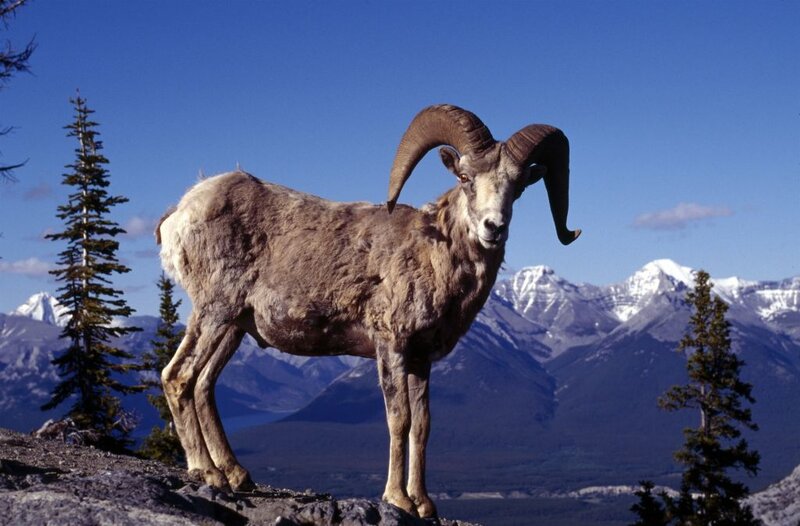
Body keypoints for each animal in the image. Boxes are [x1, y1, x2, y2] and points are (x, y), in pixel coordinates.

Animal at [156, 104, 580, 519]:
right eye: (465, 177)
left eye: (518, 186)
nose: (494, 227)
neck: (433, 253)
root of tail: (179, 214)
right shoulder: (390, 347)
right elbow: (399, 419)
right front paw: (398, 499)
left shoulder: (420, 359)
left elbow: (422, 425)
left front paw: (424, 503)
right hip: (214, 312)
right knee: (178, 377)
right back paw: (208, 472)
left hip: (234, 327)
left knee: (204, 385)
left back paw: (236, 474)